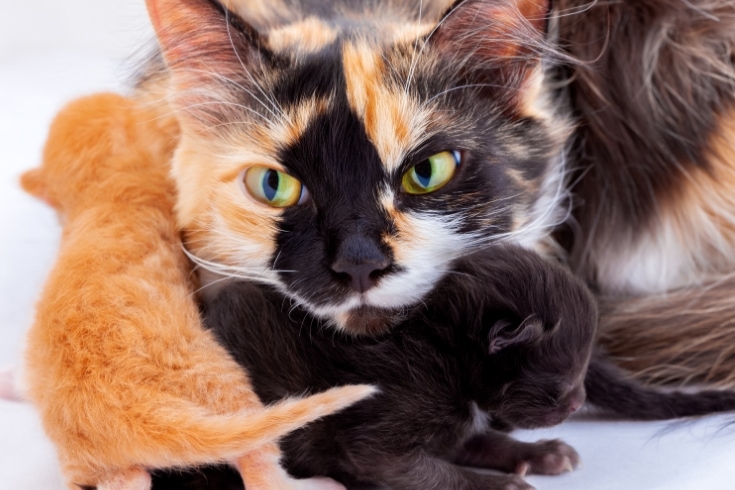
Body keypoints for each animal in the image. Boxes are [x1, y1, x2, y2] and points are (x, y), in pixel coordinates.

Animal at [20, 92, 376, 490]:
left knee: (128, 480)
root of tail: (122, 416)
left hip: (95, 467)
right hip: (219, 383)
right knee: (260, 468)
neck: (100, 191)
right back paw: (321, 483)